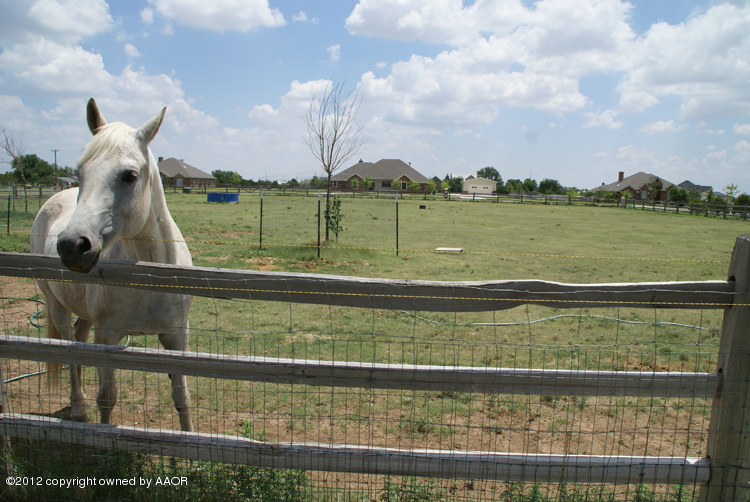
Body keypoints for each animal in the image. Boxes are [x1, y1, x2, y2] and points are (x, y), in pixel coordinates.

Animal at [30, 98, 194, 431]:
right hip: (56, 305)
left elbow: (181, 396)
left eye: (130, 175)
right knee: (69, 350)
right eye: (79, 172)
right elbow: (107, 397)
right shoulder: (107, 336)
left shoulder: (177, 334)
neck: (149, 274)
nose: (72, 246)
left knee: (78, 342)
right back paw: (77, 409)